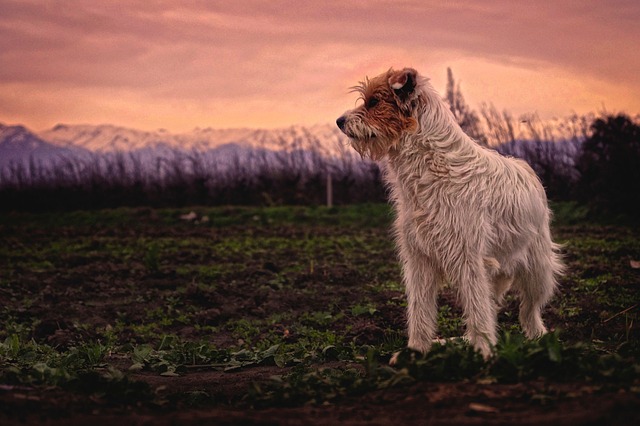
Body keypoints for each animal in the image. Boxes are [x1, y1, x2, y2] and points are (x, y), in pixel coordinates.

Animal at [338, 68, 564, 362]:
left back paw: (538, 338)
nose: (339, 121)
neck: (431, 167)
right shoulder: (419, 260)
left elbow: (478, 309)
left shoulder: (468, 259)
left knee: (528, 310)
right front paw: (417, 351)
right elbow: (420, 310)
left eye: (374, 102)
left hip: (537, 268)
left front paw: (483, 353)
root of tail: (526, 169)